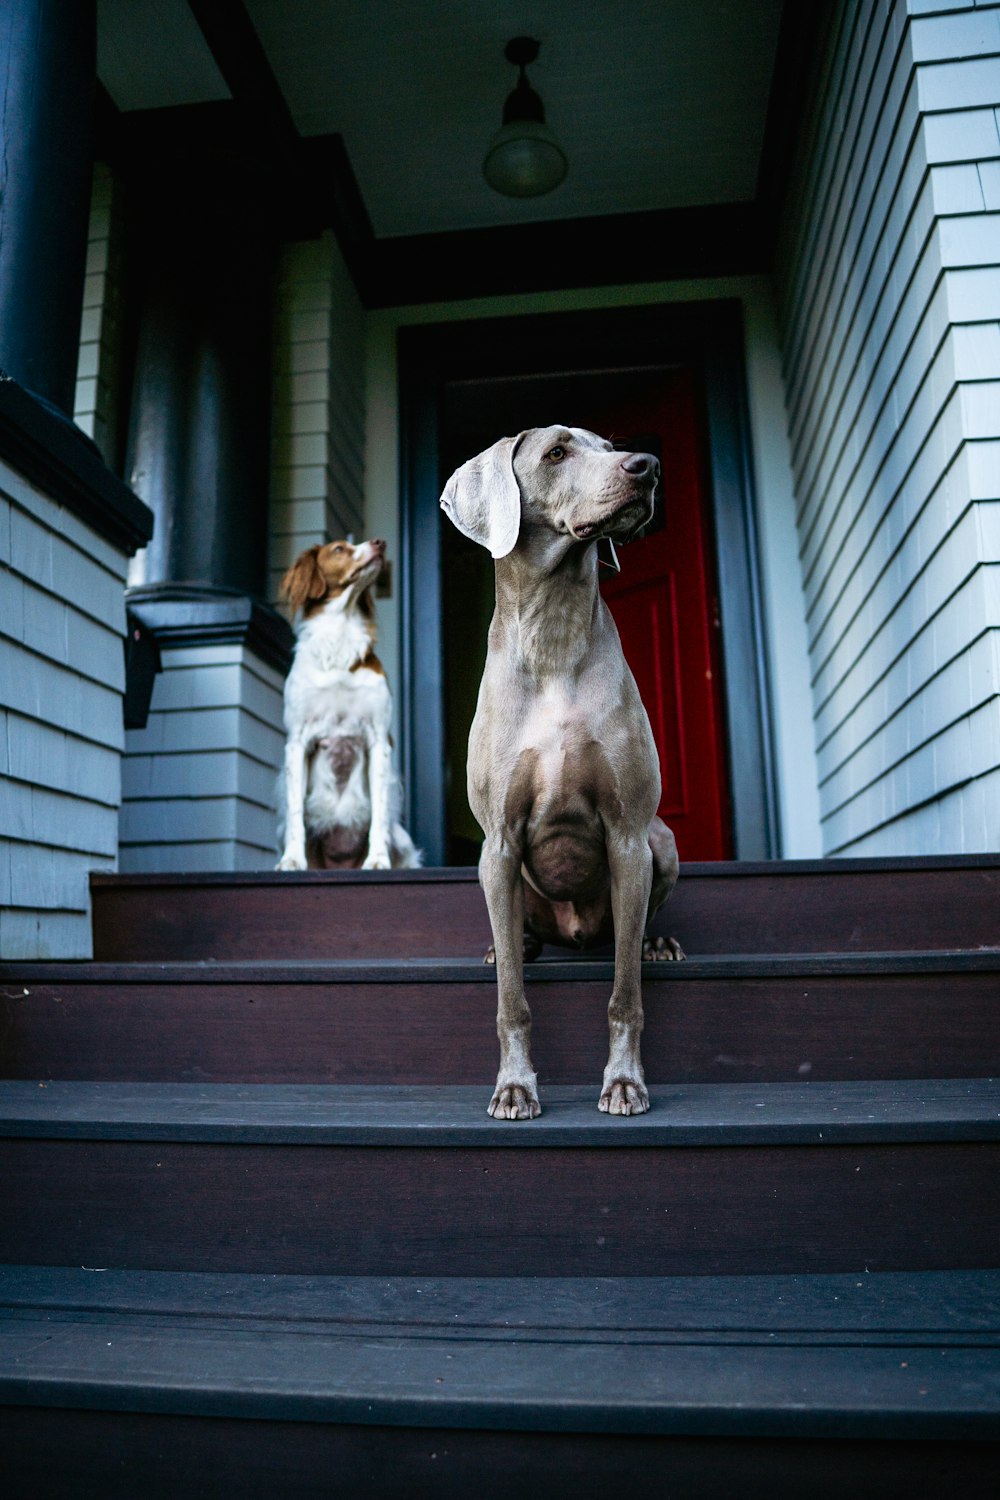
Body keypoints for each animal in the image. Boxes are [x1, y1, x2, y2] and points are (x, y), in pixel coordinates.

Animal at [275, 537, 419, 870]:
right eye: (339, 549)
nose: (380, 542)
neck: (338, 636)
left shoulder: (379, 741)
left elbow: (379, 812)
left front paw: (377, 859)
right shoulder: (297, 742)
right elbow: (295, 814)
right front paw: (292, 859)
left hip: (403, 840)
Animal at [440, 420, 683, 1116]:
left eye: (611, 446)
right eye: (555, 452)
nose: (648, 466)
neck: (552, 636)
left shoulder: (629, 838)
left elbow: (625, 995)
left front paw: (624, 1082)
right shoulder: (497, 842)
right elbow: (512, 1003)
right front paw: (515, 1087)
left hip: (662, 841)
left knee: (637, 927)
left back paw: (658, 943)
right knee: (517, 939)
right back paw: (506, 947)